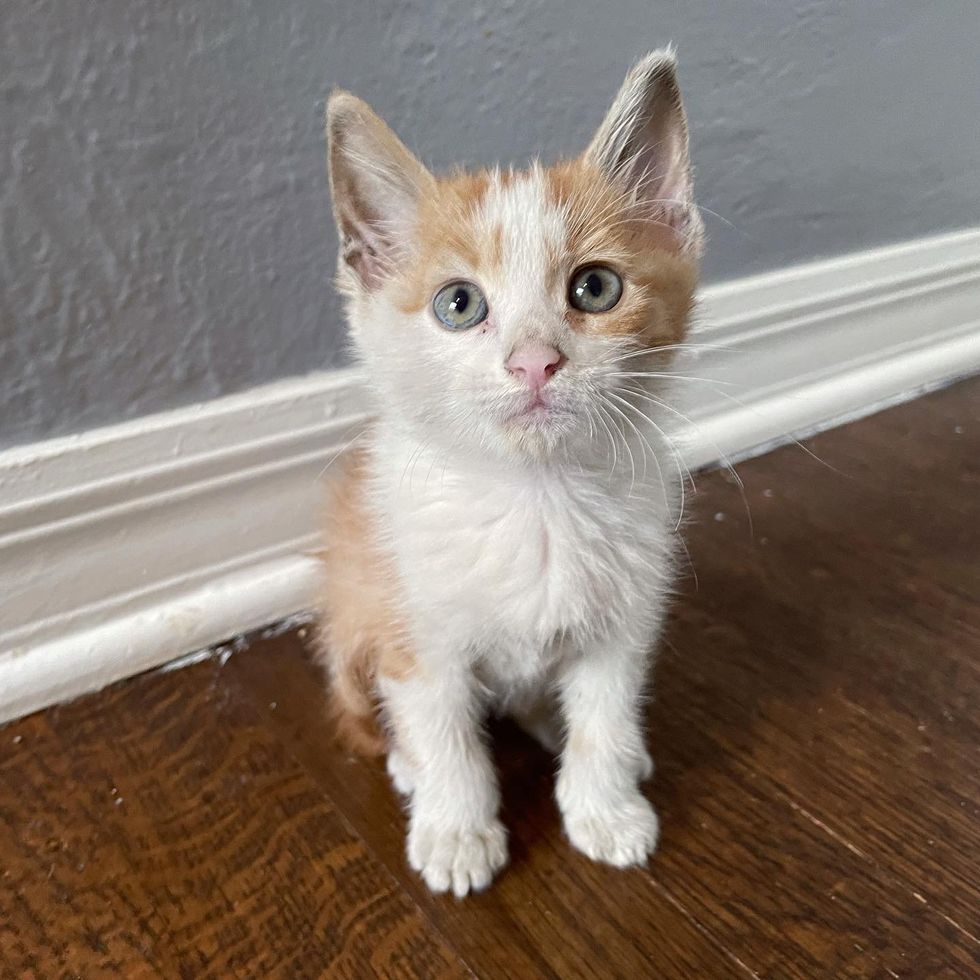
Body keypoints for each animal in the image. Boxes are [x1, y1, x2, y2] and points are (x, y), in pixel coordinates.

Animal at [320, 51, 704, 896]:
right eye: (458, 304)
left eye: (596, 287)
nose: (534, 361)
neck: (536, 497)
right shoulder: (415, 627)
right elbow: (445, 733)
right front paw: (456, 831)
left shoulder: (625, 618)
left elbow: (605, 715)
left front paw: (605, 809)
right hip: (353, 610)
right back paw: (408, 767)